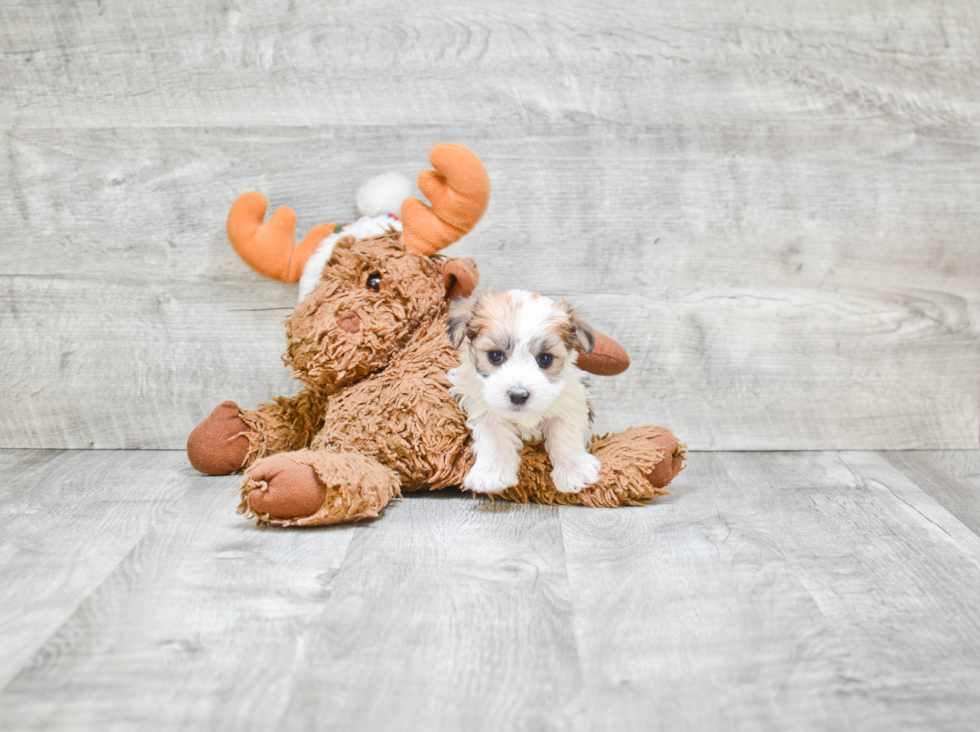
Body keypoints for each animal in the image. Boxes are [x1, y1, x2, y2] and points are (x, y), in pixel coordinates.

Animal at [448, 288, 600, 494]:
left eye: (545, 359)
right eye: (495, 356)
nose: (518, 395)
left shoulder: (569, 400)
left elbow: (564, 433)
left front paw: (574, 469)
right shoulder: (484, 409)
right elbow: (495, 438)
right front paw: (492, 474)